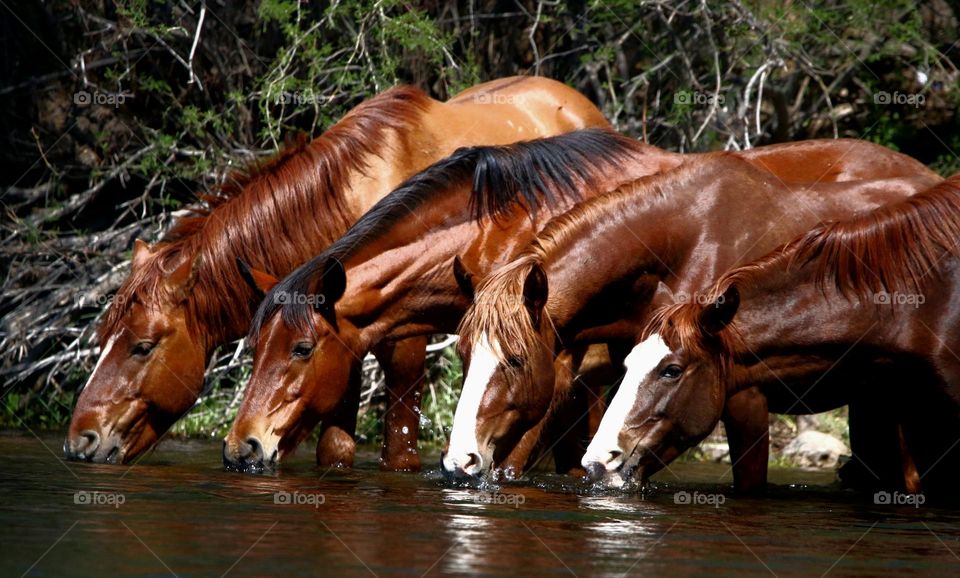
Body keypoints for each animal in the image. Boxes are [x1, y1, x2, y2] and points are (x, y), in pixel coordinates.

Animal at [62, 76, 611, 467]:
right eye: (101, 338)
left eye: (142, 346)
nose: (80, 440)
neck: (353, 197)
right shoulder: (341, 342)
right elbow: (336, 449)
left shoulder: (402, 345)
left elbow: (398, 453)